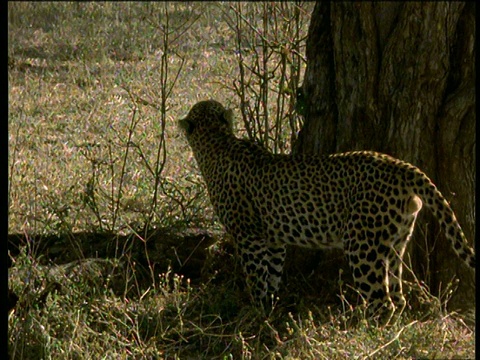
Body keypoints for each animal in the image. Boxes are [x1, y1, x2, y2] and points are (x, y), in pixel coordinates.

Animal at [178, 98, 474, 324]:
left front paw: (255, 312)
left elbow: (256, 277)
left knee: (382, 301)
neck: (217, 142)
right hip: (397, 241)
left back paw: (368, 334)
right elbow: (272, 275)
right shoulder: (274, 241)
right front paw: (269, 310)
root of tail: (401, 165)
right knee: (398, 297)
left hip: (363, 245)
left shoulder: (249, 237)